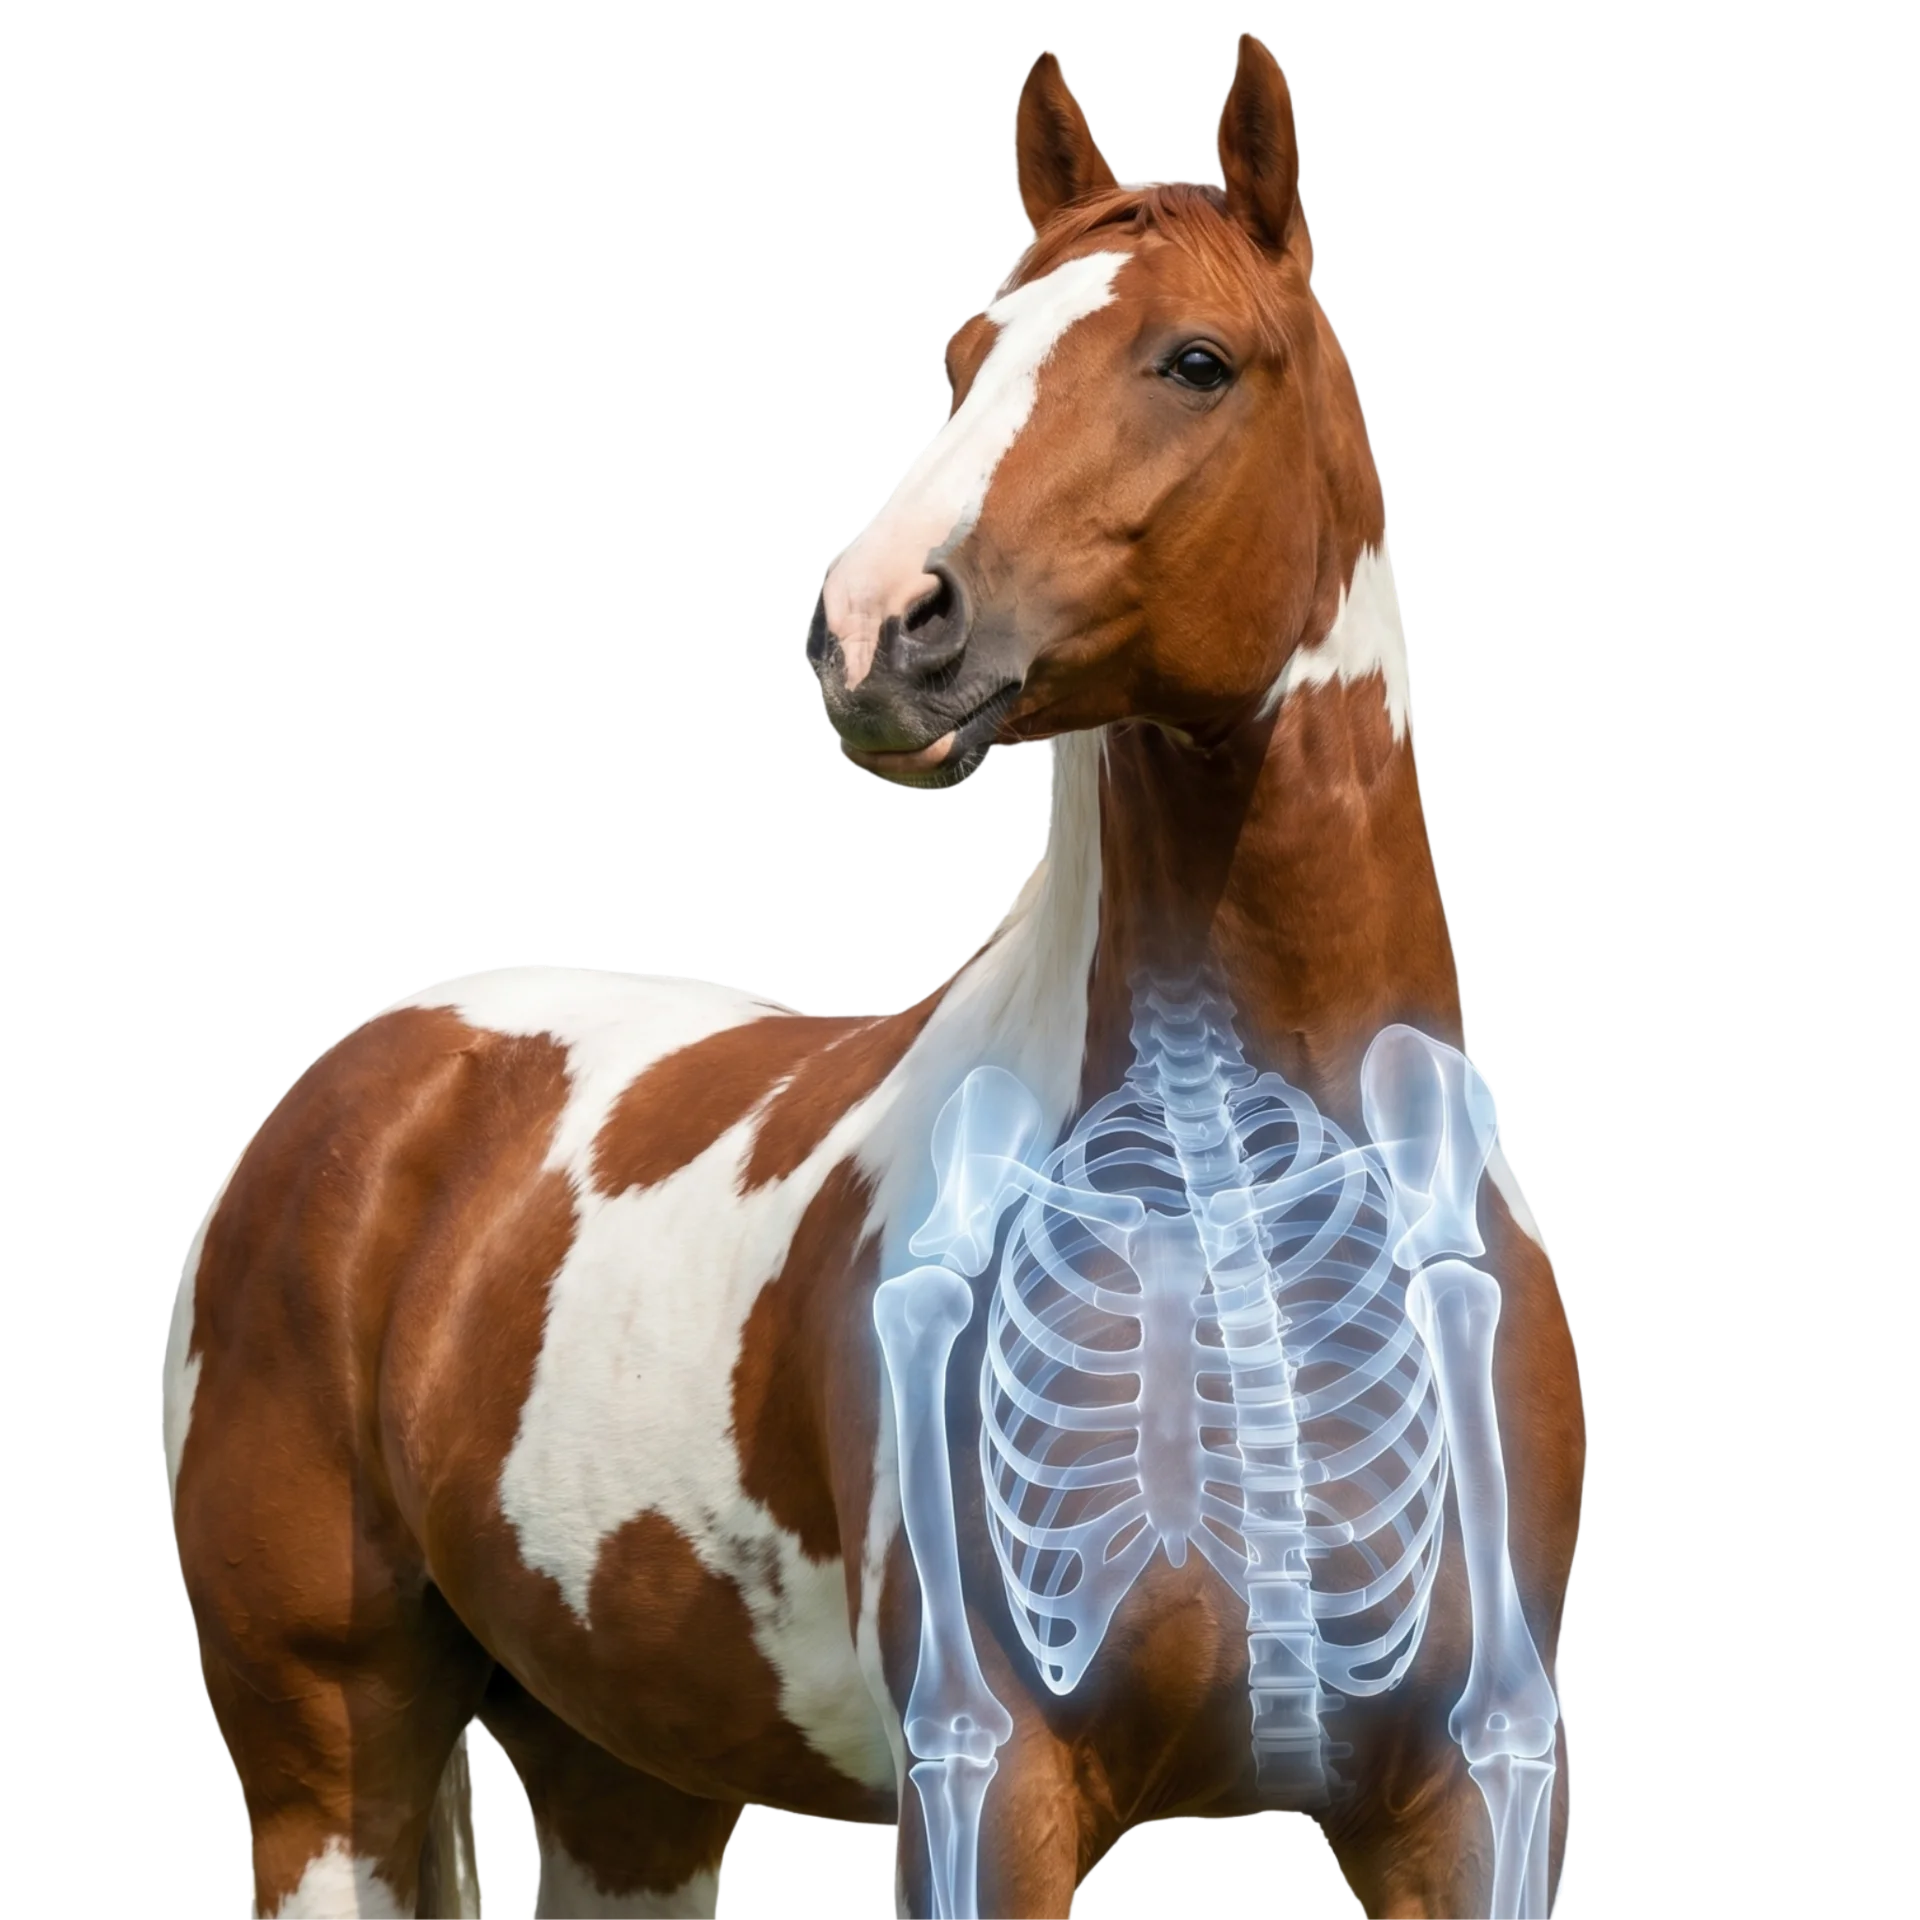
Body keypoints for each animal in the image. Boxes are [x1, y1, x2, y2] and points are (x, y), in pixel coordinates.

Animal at [162, 33, 1585, 1919]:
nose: (877, 628)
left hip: (631, 1784)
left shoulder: (1473, 1789)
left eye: (1196, 363)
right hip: (333, 1774)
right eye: (963, 358)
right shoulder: (990, 1782)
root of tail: (373, 1080)